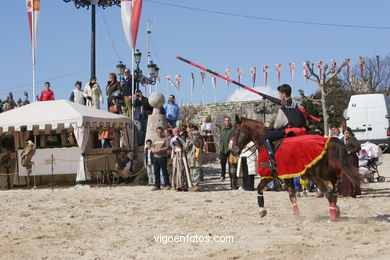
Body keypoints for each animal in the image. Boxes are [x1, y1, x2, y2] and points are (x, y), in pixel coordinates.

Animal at [232, 115, 362, 222]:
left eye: (234, 131)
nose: (234, 151)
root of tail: (329, 142)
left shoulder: (269, 175)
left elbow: (259, 188)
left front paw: (262, 210)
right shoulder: (287, 176)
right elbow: (292, 196)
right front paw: (296, 215)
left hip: (315, 177)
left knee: (329, 193)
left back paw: (332, 218)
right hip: (331, 176)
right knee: (334, 193)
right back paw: (336, 211)